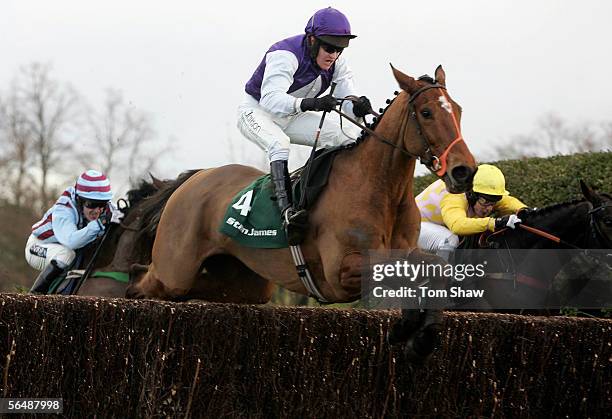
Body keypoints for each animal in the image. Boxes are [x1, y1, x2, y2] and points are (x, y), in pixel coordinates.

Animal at [125, 67, 478, 362]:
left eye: (459, 110)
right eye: (426, 113)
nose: (464, 171)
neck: (380, 188)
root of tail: (192, 179)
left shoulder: (404, 250)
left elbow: (435, 269)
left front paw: (420, 335)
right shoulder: (342, 272)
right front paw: (411, 329)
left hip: (243, 284)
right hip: (175, 269)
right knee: (144, 281)